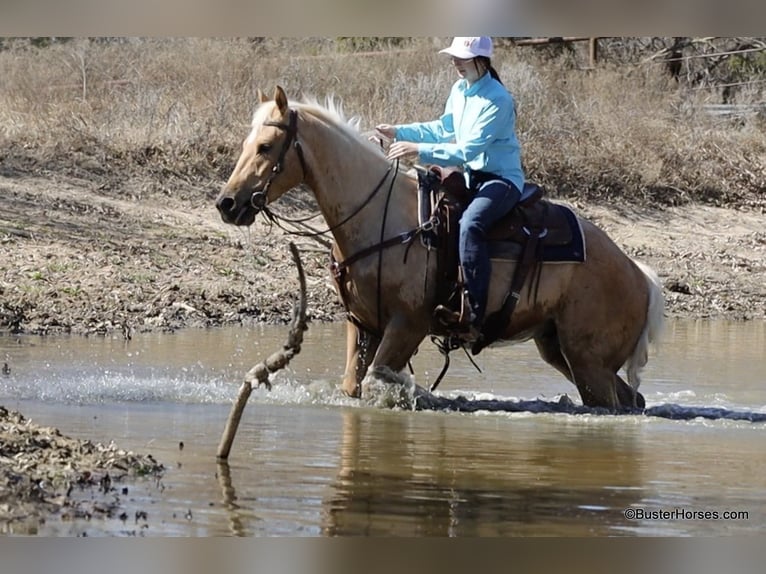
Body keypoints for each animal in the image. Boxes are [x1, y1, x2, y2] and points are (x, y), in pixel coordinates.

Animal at [215, 86, 665, 412]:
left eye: (266, 147)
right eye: (246, 143)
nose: (227, 204)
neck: (381, 216)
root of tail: (638, 274)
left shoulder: (407, 324)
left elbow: (382, 379)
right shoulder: (362, 324)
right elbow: (354, 385)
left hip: (588, 360)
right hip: (561, 350)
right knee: (631, 399)